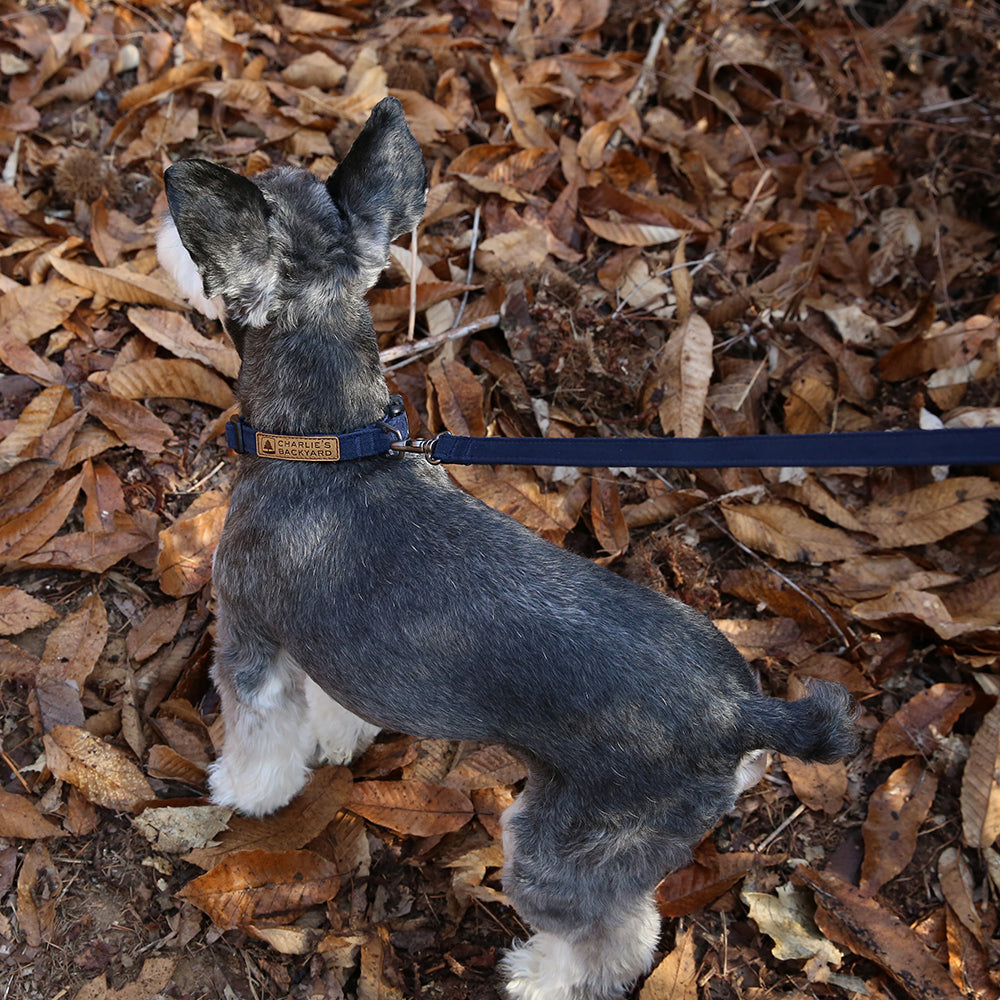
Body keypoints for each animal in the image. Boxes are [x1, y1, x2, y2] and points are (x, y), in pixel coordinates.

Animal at [158, 97, 860, 1000]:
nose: (161, 230)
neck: (331, 441)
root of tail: (744, 713)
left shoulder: (249, 632)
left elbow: (260, 734)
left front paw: (242, 791)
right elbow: (334, 703)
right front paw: (340, 739)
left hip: (563, 842)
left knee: (615, 935)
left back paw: (539, 976)